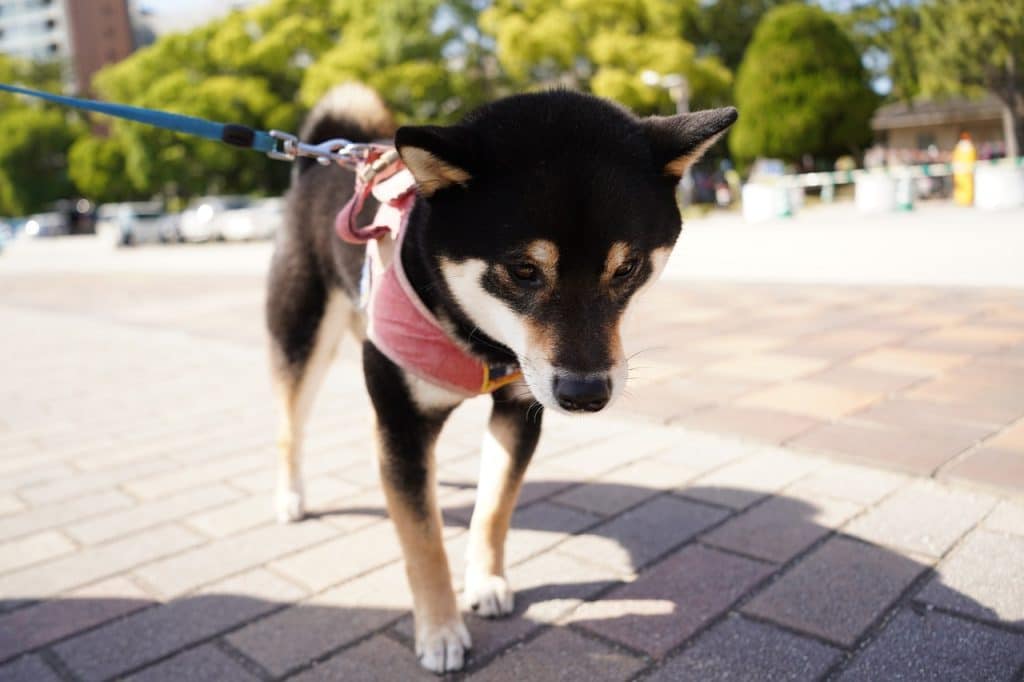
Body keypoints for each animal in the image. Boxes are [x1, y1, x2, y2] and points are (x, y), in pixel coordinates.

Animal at [266, 83, 737, 667]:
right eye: (523, 270)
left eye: (627, 269)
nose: (586, 394)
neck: (483, 342)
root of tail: (321, 161)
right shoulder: (402, 421)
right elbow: (422, 541)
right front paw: (441, 630)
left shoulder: (518, 408)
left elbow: (493, 507)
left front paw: (485, 583)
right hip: (304, 335)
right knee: (290, 424)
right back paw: (289, 497)